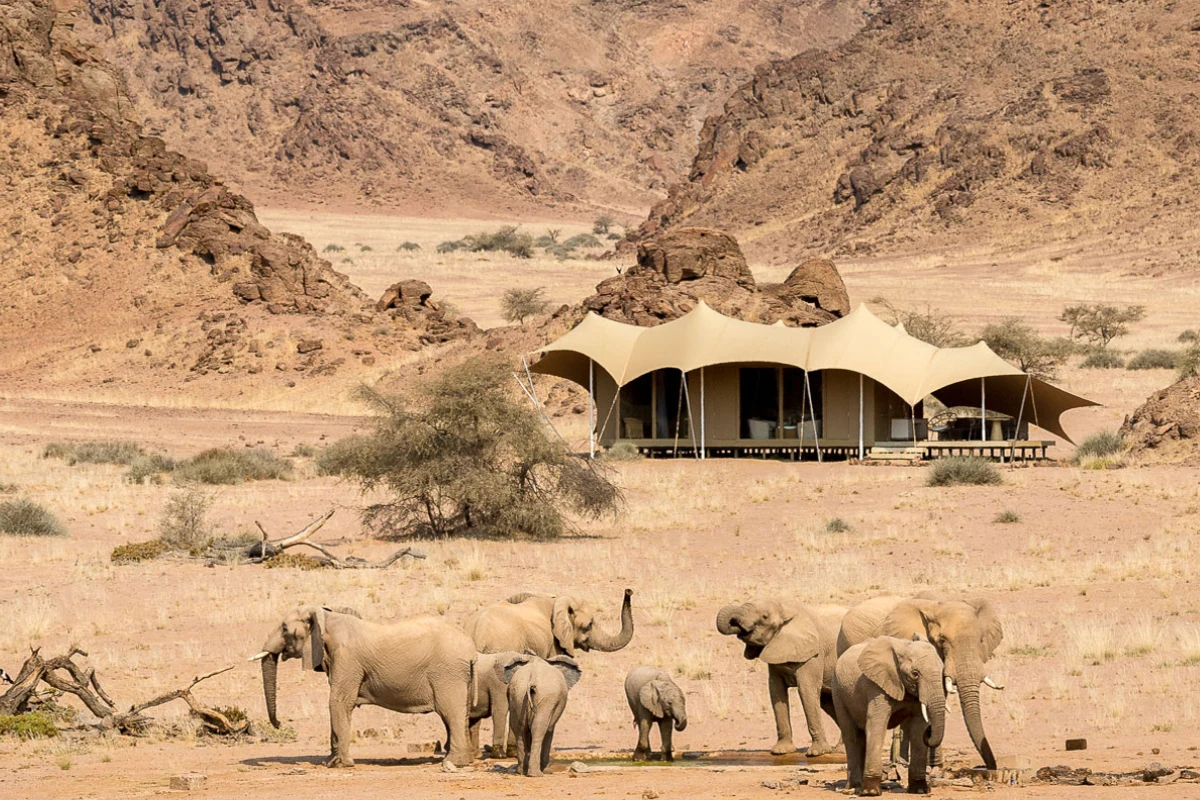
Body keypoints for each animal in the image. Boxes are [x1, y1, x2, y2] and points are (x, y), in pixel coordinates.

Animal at [250, 606, 476, 768]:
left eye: (284, 628)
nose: (279, 724)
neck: (327, 618)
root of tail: (470, 646)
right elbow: (338, 704)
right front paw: (329, 762)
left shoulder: (347, 659)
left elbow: (338, 702)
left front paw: (340, 764)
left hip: (448, 672)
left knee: (450, 712)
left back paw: (453, 763)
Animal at [466, 587, 633, 755]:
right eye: (589, 624)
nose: (628, 591)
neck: (557, 601)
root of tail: (477, 633)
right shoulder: (554, 643)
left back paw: (478, 752)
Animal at [716, 599, 848, 757]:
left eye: (764, 617)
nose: (736, 624)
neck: (785, 609)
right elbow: (776, 691)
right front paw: (781, 751)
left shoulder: (814, 653)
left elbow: (806, 691)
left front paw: (817, 753)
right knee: (826, 700)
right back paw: (841, 750)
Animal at [832, 636, 947, 796]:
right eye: (915, 674)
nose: (930, 731)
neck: (903, 647)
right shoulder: (876, 685)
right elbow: (877, 724)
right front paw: (870, 792)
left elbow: (918, 729)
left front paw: (919, 790)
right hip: (838, 693)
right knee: (852, 735)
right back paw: (855, 787)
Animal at [837, 593, 1004, 770]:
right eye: (942, 641)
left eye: (981, 640)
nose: (988, 767)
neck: (936, 606)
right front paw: (932, 765)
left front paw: (935, 765)